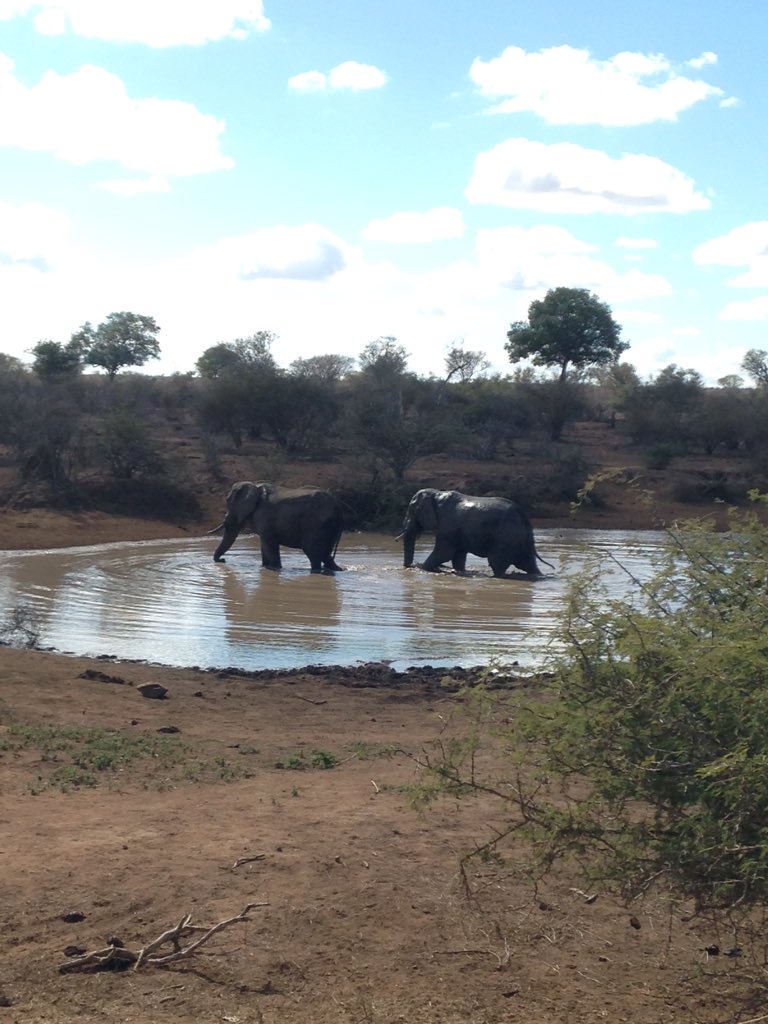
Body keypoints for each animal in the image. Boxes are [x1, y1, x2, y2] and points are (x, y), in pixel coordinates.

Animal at [210, 482, 344, 573]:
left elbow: (269, 545)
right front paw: (265, 567)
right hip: (332, 525)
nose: (223, 560)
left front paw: (274, 568)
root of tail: (337, 504)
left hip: (315, 523)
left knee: (312, 552)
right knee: (326, 554)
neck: (254, 486)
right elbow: (264, 546)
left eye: (228, 501)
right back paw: (337, 569)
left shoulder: (264, 517)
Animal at [398, 488, 552, 578]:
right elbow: (458, 556)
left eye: (412, 510)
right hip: (521, 539)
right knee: (528, 564)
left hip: (506, 538)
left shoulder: (448, 526)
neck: (436, 494)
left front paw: (422, 568)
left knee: (498, 565)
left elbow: (444, 553)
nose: (410, 566)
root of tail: (524, 516)